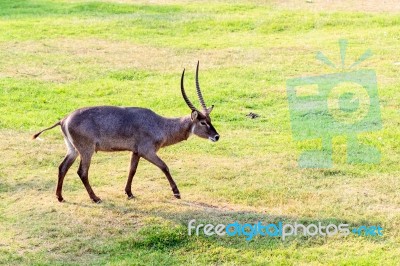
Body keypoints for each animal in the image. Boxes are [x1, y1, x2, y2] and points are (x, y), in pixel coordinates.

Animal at [31, 61, 220, 204]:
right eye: (203, 122)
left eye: (210, 120)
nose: (217, 136)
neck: (160, 124)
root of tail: (64, 119)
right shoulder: (147, 151)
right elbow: (164, 167)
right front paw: (177, 193)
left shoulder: (136, 152)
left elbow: (132, 170)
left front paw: (129, 193)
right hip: (86, 150)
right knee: (82, 172)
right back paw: (95, 198)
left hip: (73, 150)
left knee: (62, 167)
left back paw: (60, 197)